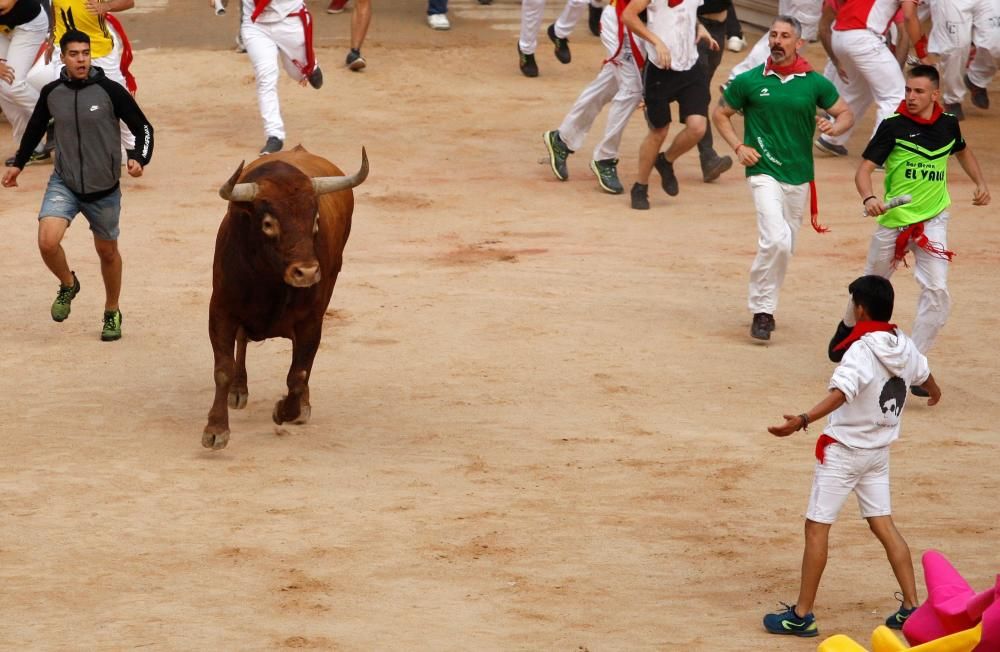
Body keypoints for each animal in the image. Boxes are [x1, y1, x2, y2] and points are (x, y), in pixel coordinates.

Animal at [201, 144, 370, 448]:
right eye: (268, 223)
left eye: (315, 220)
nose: (307, 272)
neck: (269, 281)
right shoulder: (221, 309)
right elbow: (223, 368)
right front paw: (216, 428)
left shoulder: (311, 320)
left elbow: (299, 373)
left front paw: (287, 410)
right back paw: (239, 389)